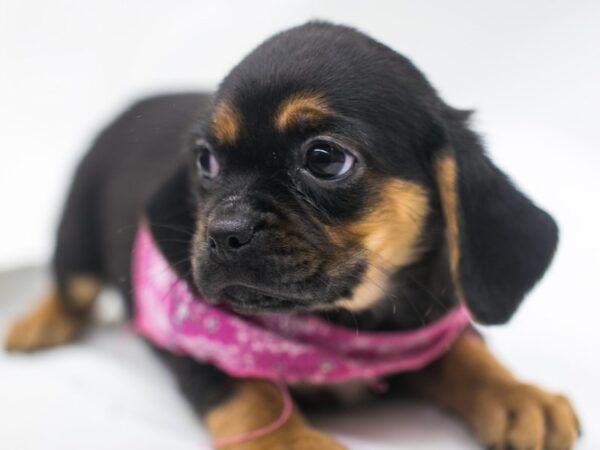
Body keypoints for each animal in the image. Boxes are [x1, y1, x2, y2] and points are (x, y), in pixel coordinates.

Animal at [4, 22, 580, 450]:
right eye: (205, 162)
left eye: (325, 158)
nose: (222, 233)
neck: (338, 326)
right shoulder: (199, 345)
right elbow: (252, 395)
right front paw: (297, 442)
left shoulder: (424, 320)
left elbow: (464, 352)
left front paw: (518, 395)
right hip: (77, 229)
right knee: (69, 283)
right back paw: (39, 323)